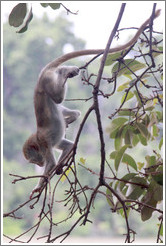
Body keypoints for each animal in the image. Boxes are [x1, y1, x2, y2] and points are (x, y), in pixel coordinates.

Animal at [22, 9, 160, 198]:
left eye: (34, 159)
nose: (38, 164)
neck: (36, 138)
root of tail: (39, 80)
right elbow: (68, 147)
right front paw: (60, 168)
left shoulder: (43, 144)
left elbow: (51, 163)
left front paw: (40, 184)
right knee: (59, 105)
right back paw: (72, 116)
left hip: (47, 82)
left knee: (57, 97)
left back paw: (64, 71)